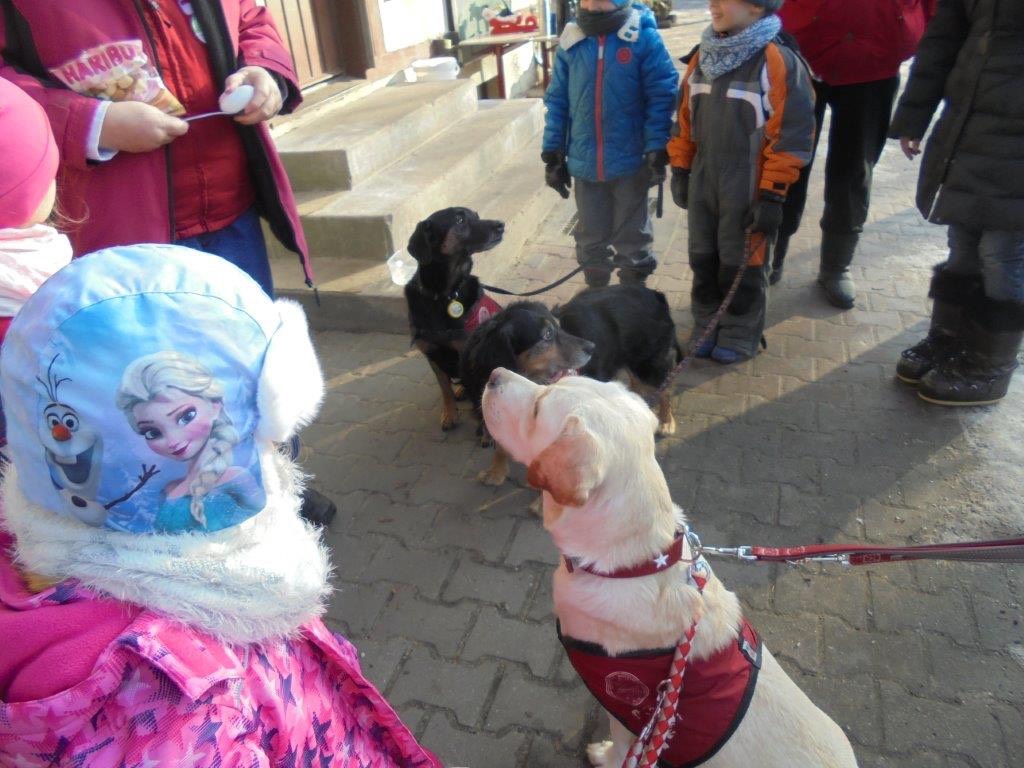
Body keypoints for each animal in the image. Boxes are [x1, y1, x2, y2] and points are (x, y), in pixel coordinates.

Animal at [405, 207, 505, 430]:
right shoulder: (431, 353)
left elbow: (478, 396)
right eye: (459, 220)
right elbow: (444, 387)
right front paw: (449, 413)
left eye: (476, 216)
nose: (501, 225)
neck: (442, 295)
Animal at [479, 370, 856, 765]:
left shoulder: (623, 711)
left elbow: (620, 750)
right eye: (556, 379)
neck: (634, 564)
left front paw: (603, 754)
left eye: (538, 408)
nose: (493, 375)